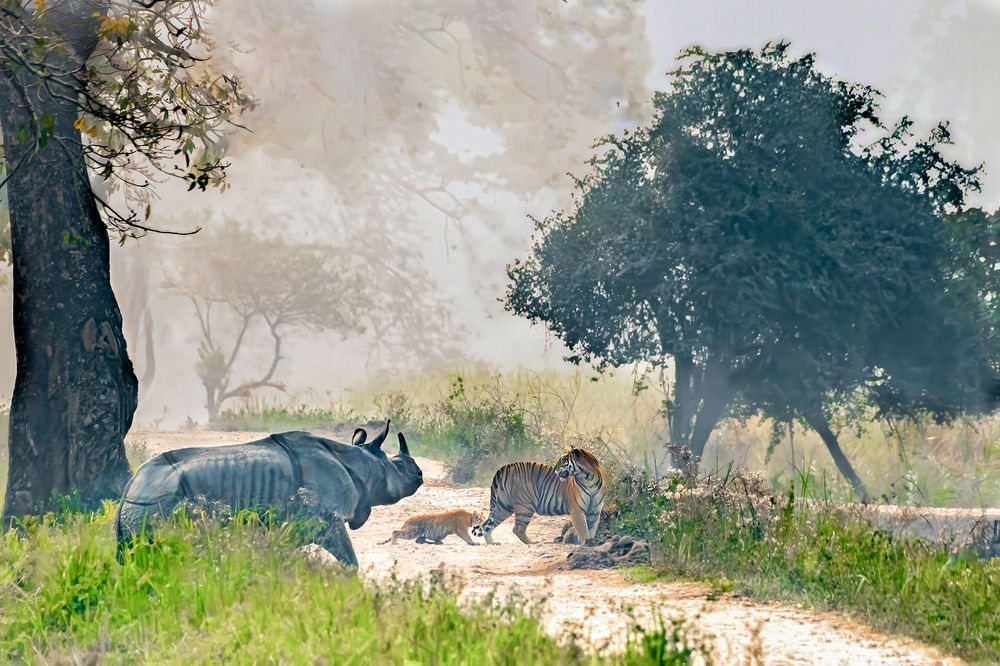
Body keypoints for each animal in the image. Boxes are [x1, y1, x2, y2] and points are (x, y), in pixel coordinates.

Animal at [471, 448, 607, 546]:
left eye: (563, 460)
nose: (555, 468)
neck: (589, 479)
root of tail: (504, 467)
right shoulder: (577, 510)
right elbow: (583, 530)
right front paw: (585, 544)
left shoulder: (595, 511)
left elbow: (591, 529)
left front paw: (590, 542)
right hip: (525, 507)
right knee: (517, 528)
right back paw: (532, 542)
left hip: (503, 507)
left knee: (487, 525)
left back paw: (492, 543)